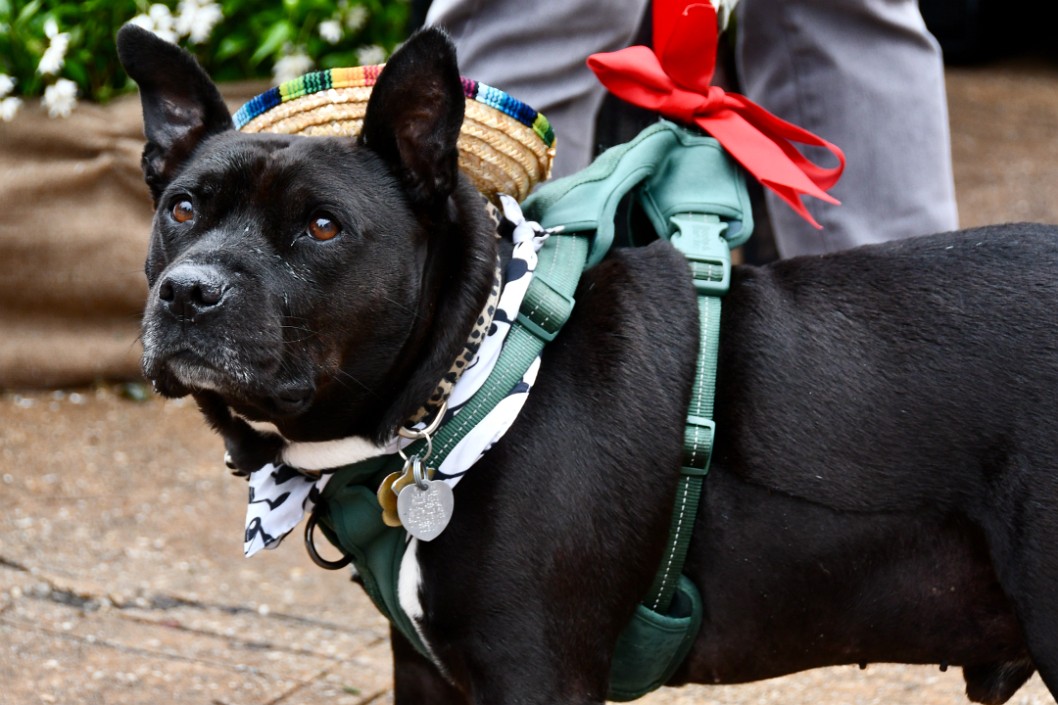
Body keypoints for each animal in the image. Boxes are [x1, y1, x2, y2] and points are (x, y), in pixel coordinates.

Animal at [117, 21, 1058, 702]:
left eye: (321, 227)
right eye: (182, 208)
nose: (189, 291)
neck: (471, 374)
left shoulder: (536, 672)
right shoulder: (425, 671)